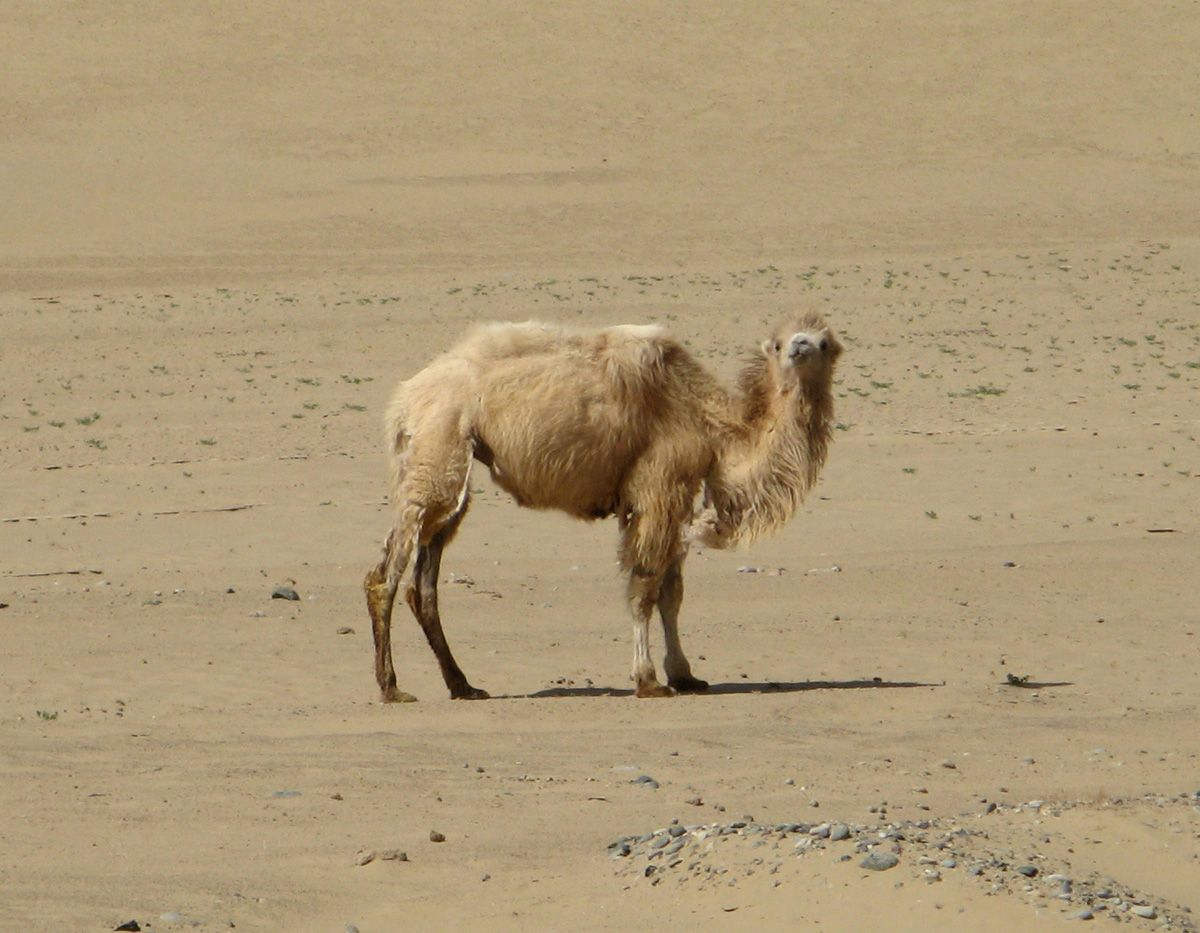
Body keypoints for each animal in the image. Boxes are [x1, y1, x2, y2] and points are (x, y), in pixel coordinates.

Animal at [363, 311, 842, 701]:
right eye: (779, 343)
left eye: (825, 341)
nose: (800, 346)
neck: (711, 422)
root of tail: (406, 397)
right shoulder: (658, 486)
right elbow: (645, 587)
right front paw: (648, 680)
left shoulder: (678, 495)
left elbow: (672, 593)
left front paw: (685, 675)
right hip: (438, 448)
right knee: (385, 575)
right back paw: (393, 688)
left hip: (449, 467)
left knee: (423, 584)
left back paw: (462, 685)